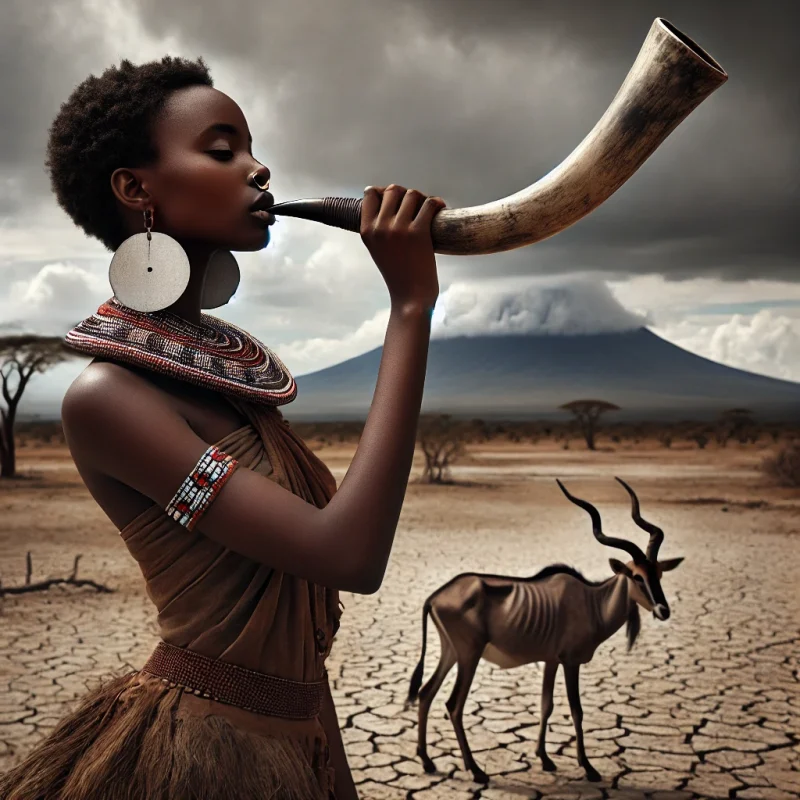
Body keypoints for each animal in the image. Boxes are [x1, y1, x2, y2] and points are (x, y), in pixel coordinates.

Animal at [406, 476, 680, 780]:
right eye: (636, 576)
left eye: (658, 573)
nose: (663, 610)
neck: (591, 600)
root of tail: (436, 597)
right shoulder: (571, 662)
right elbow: (576, 710)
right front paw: (588, 767)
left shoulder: (551, 661)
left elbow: (546, 705)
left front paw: (545, 759)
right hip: (469, 656)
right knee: (453, 704)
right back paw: (475, 770)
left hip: (451, 652)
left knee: (426, 693)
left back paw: (428, 762)